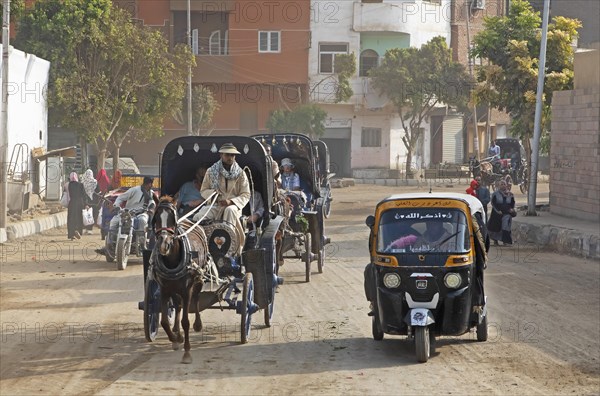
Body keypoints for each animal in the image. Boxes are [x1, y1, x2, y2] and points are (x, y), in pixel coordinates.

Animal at [151, 196, 207, 364]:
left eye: (172, 218)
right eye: (156, 218)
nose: (164, 244)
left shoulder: (186, 290)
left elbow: (185, 321)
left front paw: (187, 352)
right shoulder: (164, 290)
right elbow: (163, 321)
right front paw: (175, 339)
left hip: (198, 278)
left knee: (196, 297)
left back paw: (197, 324)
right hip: (174, 289)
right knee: (178, 304)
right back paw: (177, 332)